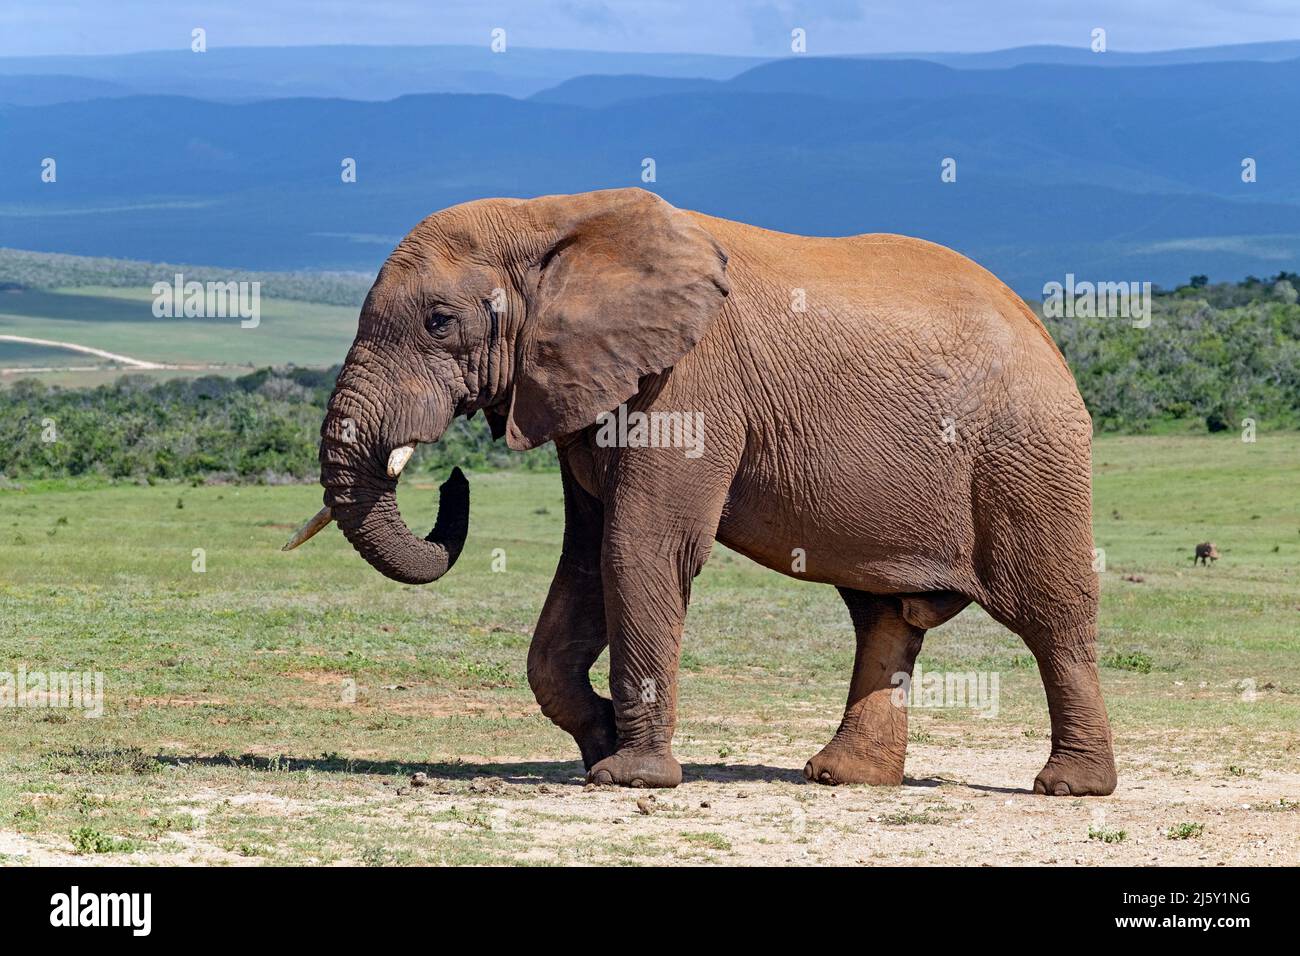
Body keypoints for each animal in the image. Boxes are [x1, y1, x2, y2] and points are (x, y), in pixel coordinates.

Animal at [284, 187, 1117, 796]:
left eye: (438, 321)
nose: (452, 478)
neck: (550, 217)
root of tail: (1046, 333)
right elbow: (584, 560)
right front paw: (600, 739)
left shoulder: (690, 382)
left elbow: (640, 547)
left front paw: (628, 775)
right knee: (884, 617)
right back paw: (841, 778)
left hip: (1026, 456)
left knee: (1051, 614)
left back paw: (1069, 787)